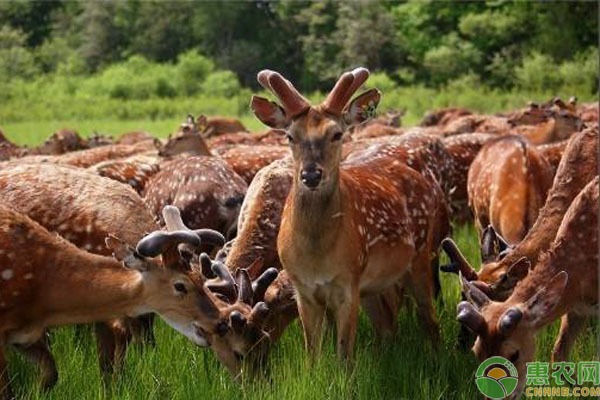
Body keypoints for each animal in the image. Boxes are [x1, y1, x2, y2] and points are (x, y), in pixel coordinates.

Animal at [251, 67, 448, 358]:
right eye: (290, 136)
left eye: (337, 134)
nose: (311, 175)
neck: (316, 256)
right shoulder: (303, 290)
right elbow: (312, 354)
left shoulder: (349, 282)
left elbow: (345, 355)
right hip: (376, 284)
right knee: (387, 327)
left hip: (421, 256)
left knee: (430, 319)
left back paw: (437, 358)